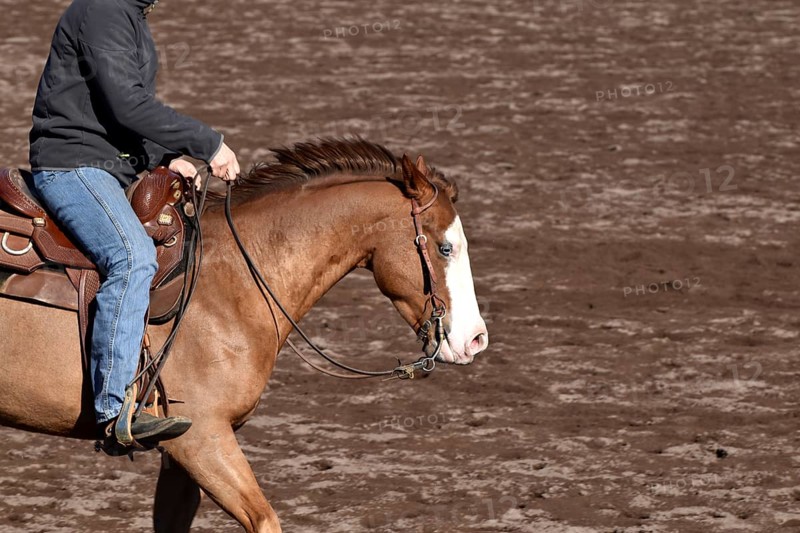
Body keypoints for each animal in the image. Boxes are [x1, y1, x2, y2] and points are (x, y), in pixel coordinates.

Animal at [0, 138, 489, 532]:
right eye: (444, 247)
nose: (475, 339)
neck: (231, 278)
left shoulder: (182, 452)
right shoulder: (201, 439)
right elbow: (265, 520)